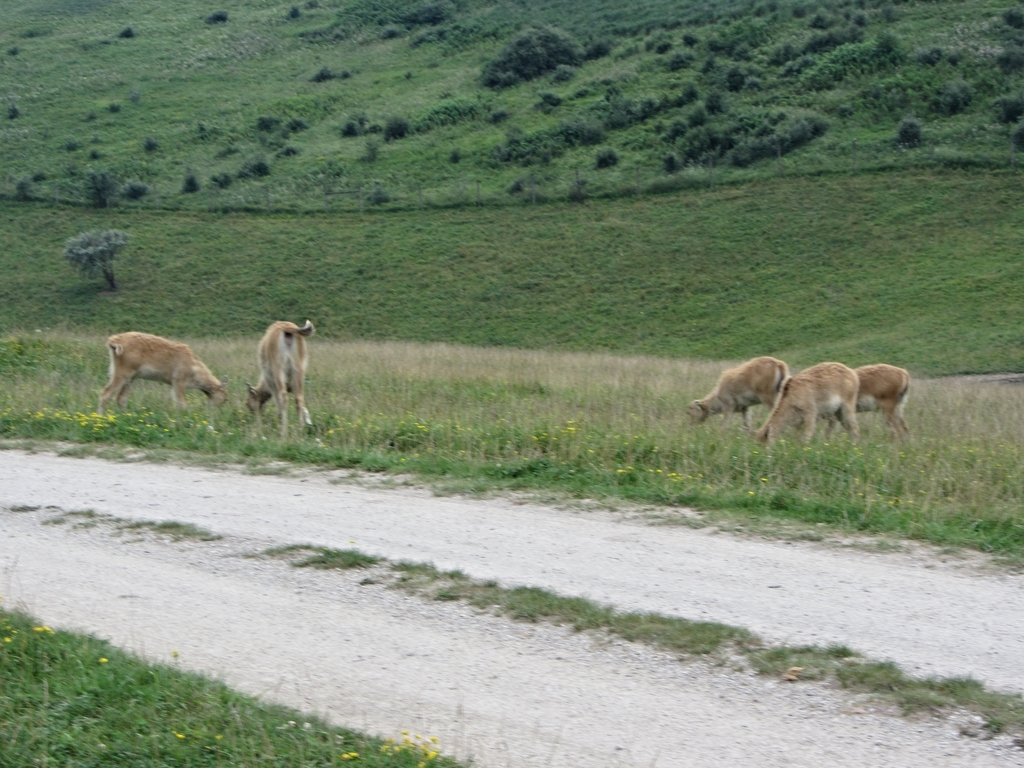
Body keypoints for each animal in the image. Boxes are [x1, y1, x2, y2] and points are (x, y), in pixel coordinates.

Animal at [98, 332, 227, 414]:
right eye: (225, 398)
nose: (216, 412)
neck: (194, 371)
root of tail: (113, 341)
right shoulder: (179, 380)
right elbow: (181, 403)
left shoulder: (174, 383)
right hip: (123, 372)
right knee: (106, 393)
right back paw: (101, 416)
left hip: (130, 376)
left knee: (121, 398)